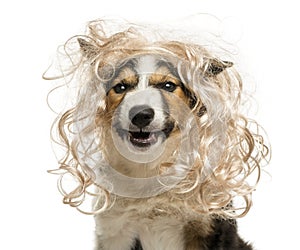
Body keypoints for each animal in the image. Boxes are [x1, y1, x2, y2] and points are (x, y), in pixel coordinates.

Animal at [47, 18, 270, 249]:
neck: (149, 169)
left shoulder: (209, 227)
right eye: (121, 87)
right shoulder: (114, 232)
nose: (140, 115)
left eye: (168, 85)